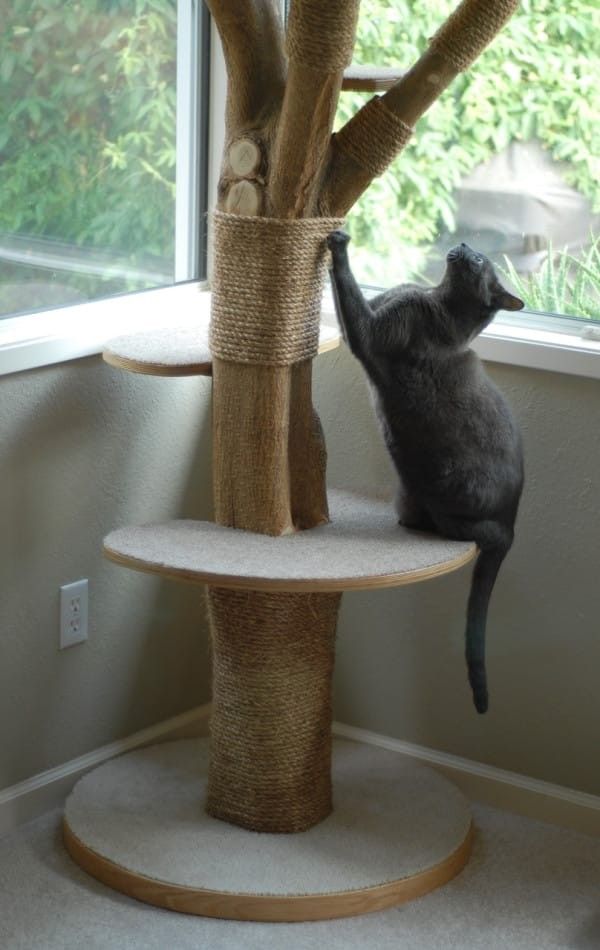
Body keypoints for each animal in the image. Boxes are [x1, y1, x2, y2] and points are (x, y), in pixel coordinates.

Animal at [328, 232, 524, 712]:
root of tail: (512, 521)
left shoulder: (369, 334)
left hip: (446, 496)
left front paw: (338, 239)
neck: (433, 296)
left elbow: (347, 291)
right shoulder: (379, 306)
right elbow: (349, 299)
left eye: (479, 260)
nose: (466, 243)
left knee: (461, 531)